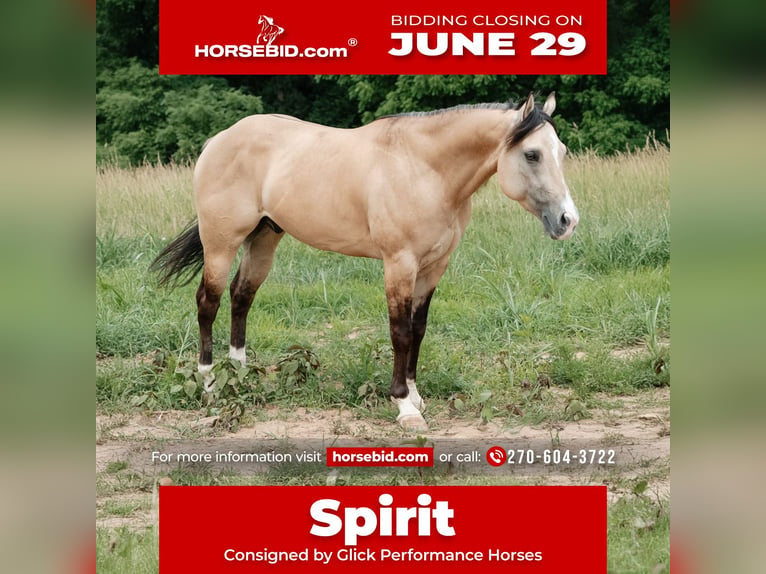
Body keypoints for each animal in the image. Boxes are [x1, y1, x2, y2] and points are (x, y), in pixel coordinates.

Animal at [150, 92, 579, 431]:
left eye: (560, 152)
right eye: (532, 154)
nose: (567, 221)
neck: (424, 169)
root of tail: (219, 140)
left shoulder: (434, 266)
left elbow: (418, 329)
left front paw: (416, 396)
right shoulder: (399, 264)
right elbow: (400, 332)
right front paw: (404, 406)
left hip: (264, 239)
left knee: (242, 297)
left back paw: (238, 375)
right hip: (220, 243)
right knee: (208, 303)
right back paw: (209, 384)